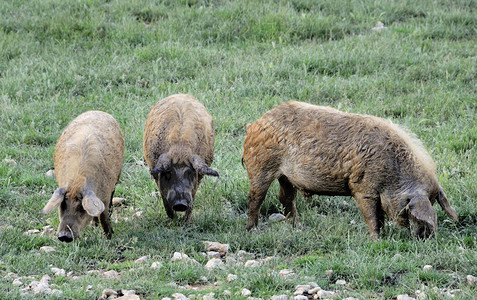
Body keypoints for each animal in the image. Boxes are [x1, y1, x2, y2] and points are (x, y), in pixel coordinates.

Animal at [244, 101, 456, 239]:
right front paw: (376, 240)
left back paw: (300, 228)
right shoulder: (363, 189)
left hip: (286, 177)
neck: (393, 173)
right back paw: (253, 231)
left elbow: (380, 216)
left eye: (433, 201)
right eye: (411, 210)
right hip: (261, 167)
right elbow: (372, 216)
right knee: (255, 197)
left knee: (286, 199)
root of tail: (254, 124)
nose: (426, 237)